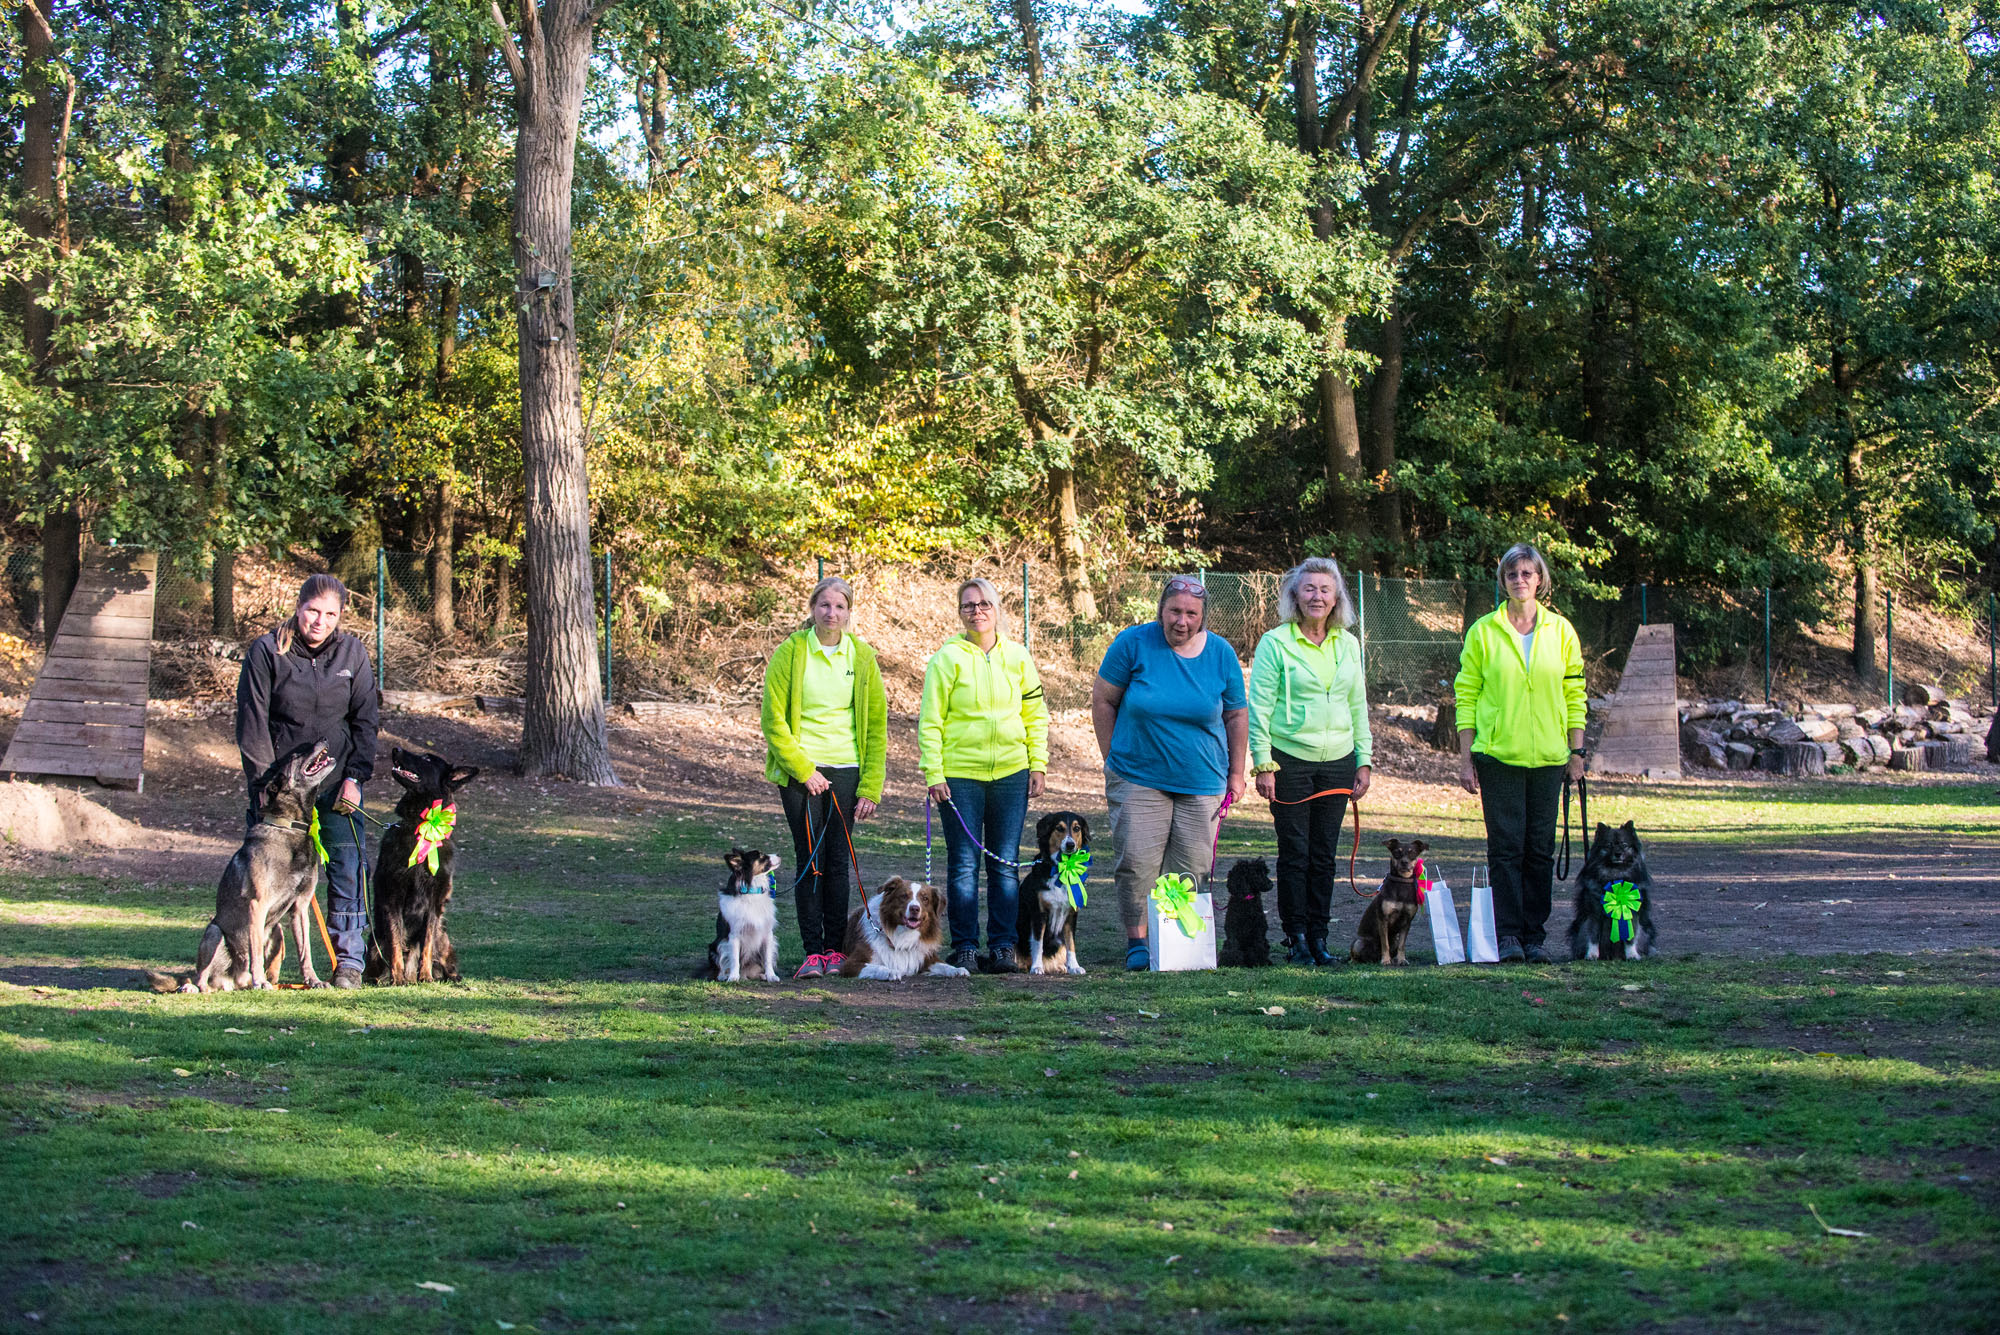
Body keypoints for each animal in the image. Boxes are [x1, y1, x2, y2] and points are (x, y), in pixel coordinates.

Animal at [148, 739, 338, 991]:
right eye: (296, 755)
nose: (323, 739)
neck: (288, 827)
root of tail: (234, 981)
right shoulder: (257, 905)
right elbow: (255, 952)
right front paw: (260, 981)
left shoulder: (300, 907)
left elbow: (305, 952)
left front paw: (313, 980)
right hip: (214, 932)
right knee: (201, 977)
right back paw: (196, 987)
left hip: (277, 932)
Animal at [366, 747, 478, 987]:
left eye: (427, 758)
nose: (395, 749)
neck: (422, 825)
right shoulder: (393, 897)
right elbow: (396, 942)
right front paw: (397, 978)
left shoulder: (435, 902)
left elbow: (426, 944)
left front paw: (425, 975)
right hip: (374, 943)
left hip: (443, 936)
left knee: (441, 957)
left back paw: (447, 976)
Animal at [1016, 807, 1096, 975]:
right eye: (1059, 828)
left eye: (1076, 828)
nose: (1070, 845)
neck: (1062, 869)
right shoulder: (1039, 913)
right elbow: (1038, 943)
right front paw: (1037, 967)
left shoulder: (1071, 914)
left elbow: (1071, 943)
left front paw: (1074, 966)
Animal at [1560, 823, 1656, 959]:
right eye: (1609, 845)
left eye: (1624, 845)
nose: (1618, 854)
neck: (1615, 874)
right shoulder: (1594, 912)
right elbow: (1593, 935)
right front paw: (1592, 954)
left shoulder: (1632, 912)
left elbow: (1631, 937)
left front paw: (1632, 955)